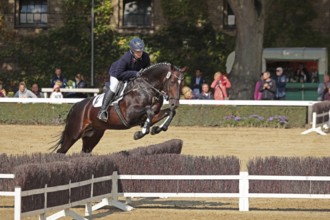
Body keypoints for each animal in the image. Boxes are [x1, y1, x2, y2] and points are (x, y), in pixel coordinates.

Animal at [51, 62, 186, 154]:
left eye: (182, 83)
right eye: (173, 81)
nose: (175, 103)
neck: (148, 89)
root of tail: (76, 106)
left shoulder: (152, 115)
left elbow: (169, 112)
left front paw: (157, 129)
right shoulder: (129, 115)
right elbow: (149, 111)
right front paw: (140, 133)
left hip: (93, 136)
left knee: (85, 151)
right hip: (73, 134)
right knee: (61, 151)